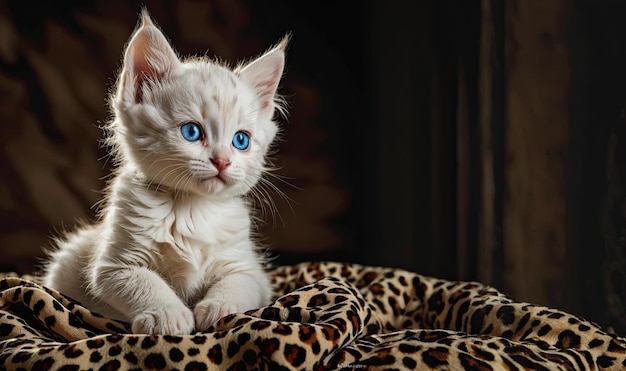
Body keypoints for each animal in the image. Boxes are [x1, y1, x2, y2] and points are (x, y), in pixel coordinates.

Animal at [42, 10, 286, 336]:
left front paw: (219, 308)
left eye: (241, 140)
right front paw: (167, 315)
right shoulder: (115, 266)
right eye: (192, 132)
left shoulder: (249, 270)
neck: (192, 209)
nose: (222, 161)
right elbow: (145, 283)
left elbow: (237, 284)